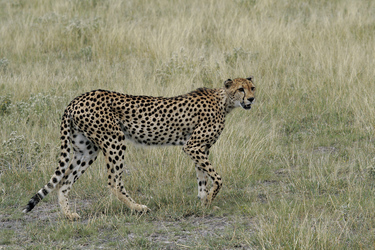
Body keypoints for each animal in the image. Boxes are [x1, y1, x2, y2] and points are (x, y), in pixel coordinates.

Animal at [22, 76, 256, 219]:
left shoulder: (200, 149)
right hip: (114, 140)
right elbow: (218, 178)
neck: (225, 101)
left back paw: (69, 215)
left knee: (64, 180)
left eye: (252, 88)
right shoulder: (193, 146)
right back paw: (138, 207)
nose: (252, 99)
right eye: (240, 89)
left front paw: (204, 202)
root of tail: (77, 98)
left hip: (86, 149)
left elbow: (202, 179)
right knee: (113, 181)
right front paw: (209, 199)